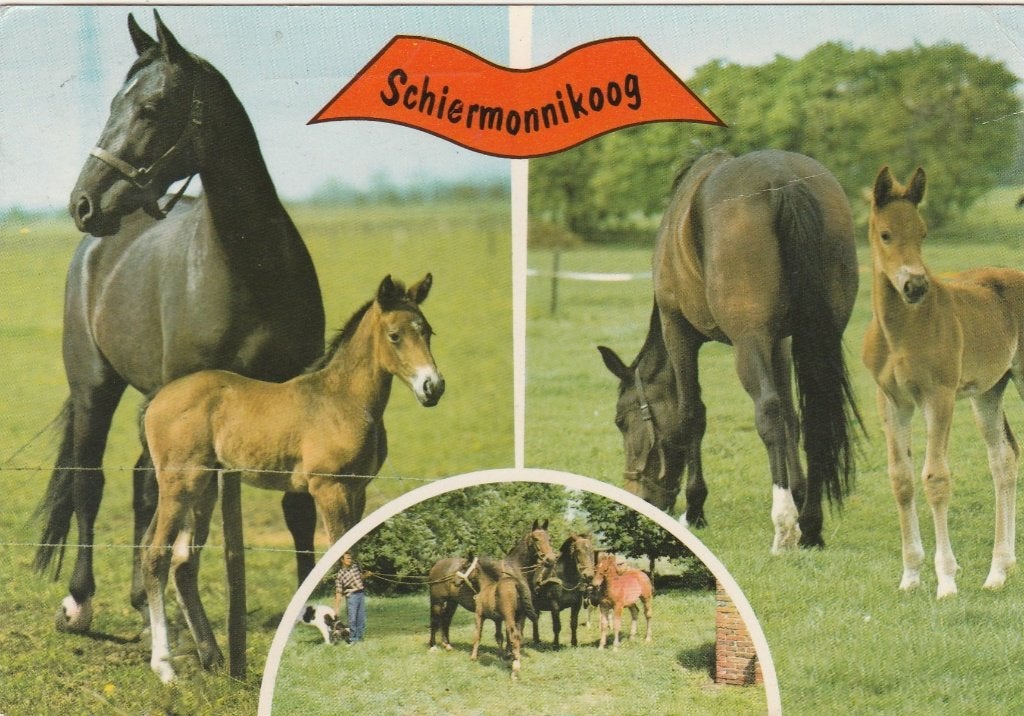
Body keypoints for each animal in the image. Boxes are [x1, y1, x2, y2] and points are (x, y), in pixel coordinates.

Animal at [33, 11, 326, 634]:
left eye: (151, 106)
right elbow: (192, 519)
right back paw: (80, 602)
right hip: (96, 389)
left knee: (144, 486)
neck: (251, 265)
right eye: (112, 104)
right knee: (91, 484)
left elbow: (294, 506)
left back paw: (143, 599)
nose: (82, 203)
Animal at [141, 274, 444, 682]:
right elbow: (339, 555)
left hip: (202, 489)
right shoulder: (329, 488)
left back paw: (214, 658)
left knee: (183, 563)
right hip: (180, 484)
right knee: (155, 556)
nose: (433, 388)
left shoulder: (357, 490)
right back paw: (165, 668)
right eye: (395, 335)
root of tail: (155, 401)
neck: (343, 399)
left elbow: (350, 554)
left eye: (427, 331)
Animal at [427, 519, 556, 651]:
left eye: (549, 539)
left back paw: (447, 644)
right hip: (437, 602)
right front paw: (508, 652)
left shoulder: (522, 612)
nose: (550, 559)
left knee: (446, 619)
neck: (515, 571)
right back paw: (433, 646)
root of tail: (437, 565)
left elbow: (518, 631)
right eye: (535, 538)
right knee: (435, 620)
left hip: (452, 602)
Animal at [598, 149, 860, 552]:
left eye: (621, 421)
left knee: (767, 412)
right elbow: (792, 418)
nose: (637, 496)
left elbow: (692, 414)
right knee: (811, 418)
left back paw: (784, 525)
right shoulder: (780, 342)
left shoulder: (678, 330)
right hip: (818, 335)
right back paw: (811, 526)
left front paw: (694, 509)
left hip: (747, 341)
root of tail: (783, 179)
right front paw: (800, 495)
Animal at [863, 166, 1024, 599]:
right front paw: (910, 576)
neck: (901, 331)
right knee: (1003, 459)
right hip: (988, 393)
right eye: (886, 233)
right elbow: (901, 479)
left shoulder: (940, 396)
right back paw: (997, 572)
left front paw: (947, 580)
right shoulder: (893, 402)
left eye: (922, 233)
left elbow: (935, 478)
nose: (915, 286)